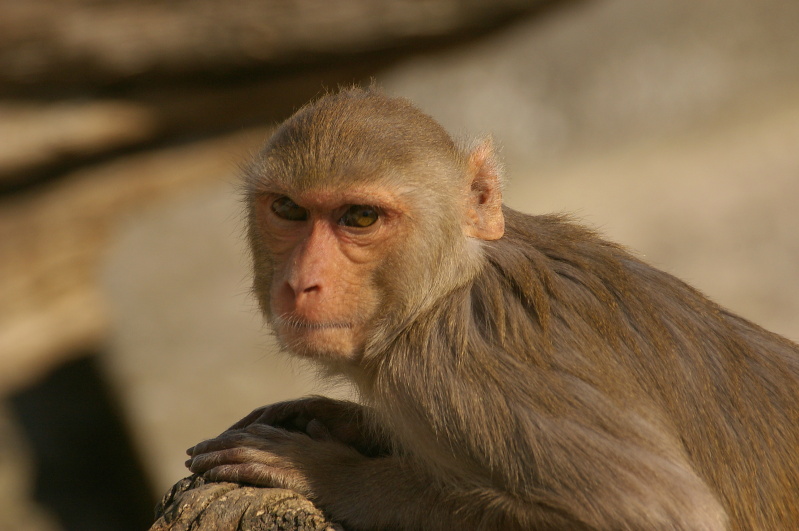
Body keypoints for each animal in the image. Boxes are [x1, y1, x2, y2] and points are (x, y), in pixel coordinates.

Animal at [188, 89, 799, 528]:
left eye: (360, 217)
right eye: (288, 209)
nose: (301, 282)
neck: (444, 292)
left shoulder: (452, 372)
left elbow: (661, 514)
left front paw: (326, 472)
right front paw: (335, 418)